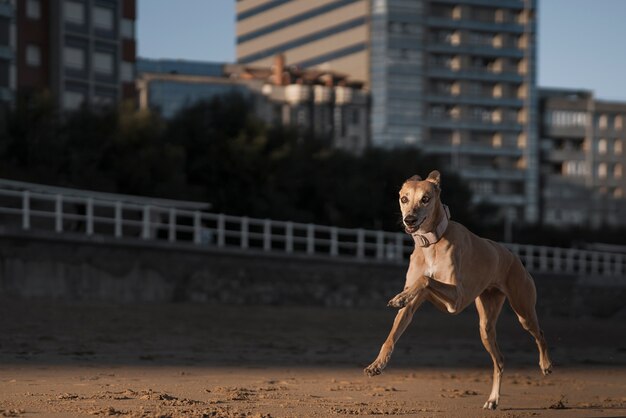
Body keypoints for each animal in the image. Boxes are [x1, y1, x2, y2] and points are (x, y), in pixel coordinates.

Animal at [364, 170, 548, 408]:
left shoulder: (456, 300)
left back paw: (545, 365)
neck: (432, 243)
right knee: (499, 361)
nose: (409, 220)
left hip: (523, 309)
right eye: (404, 199)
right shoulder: (415, 306)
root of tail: (514, 257)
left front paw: (400, 297)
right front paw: (377, 364)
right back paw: (493, 399)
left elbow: (425, 279)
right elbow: (393, 333)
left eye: (426, 199)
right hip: (486, 327)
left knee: (539, 334)